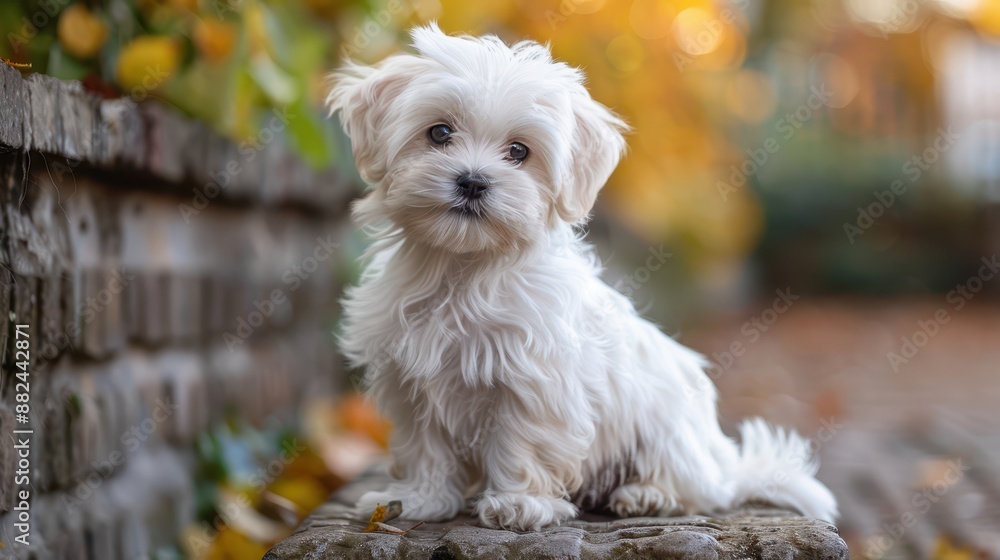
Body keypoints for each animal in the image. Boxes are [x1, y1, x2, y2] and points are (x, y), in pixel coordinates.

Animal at [328, 24, 836, 532]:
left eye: (519, 151)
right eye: (439, 132)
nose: (472, 181)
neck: (465, 268)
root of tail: (723, 468)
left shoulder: (534, 381)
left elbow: (521, 443)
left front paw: (519, 504)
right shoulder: (411, 379)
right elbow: (424, 447)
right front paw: (418, 499)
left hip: (668, 432)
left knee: (693, 491)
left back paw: (645, 495)